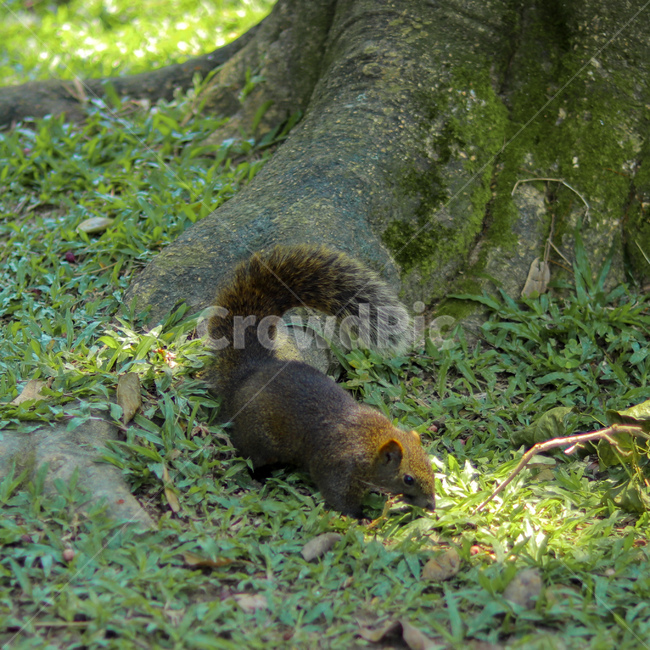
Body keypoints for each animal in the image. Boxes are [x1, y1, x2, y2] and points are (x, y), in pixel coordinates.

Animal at [205, 245, 436, 517]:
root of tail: (248, 372)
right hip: (256, 437)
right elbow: (338, 498)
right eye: (408, 479)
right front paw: (361, 517)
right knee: (248, 454)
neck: (372, 442)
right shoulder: (338, 467)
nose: (432, 505)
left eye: (430, 464)